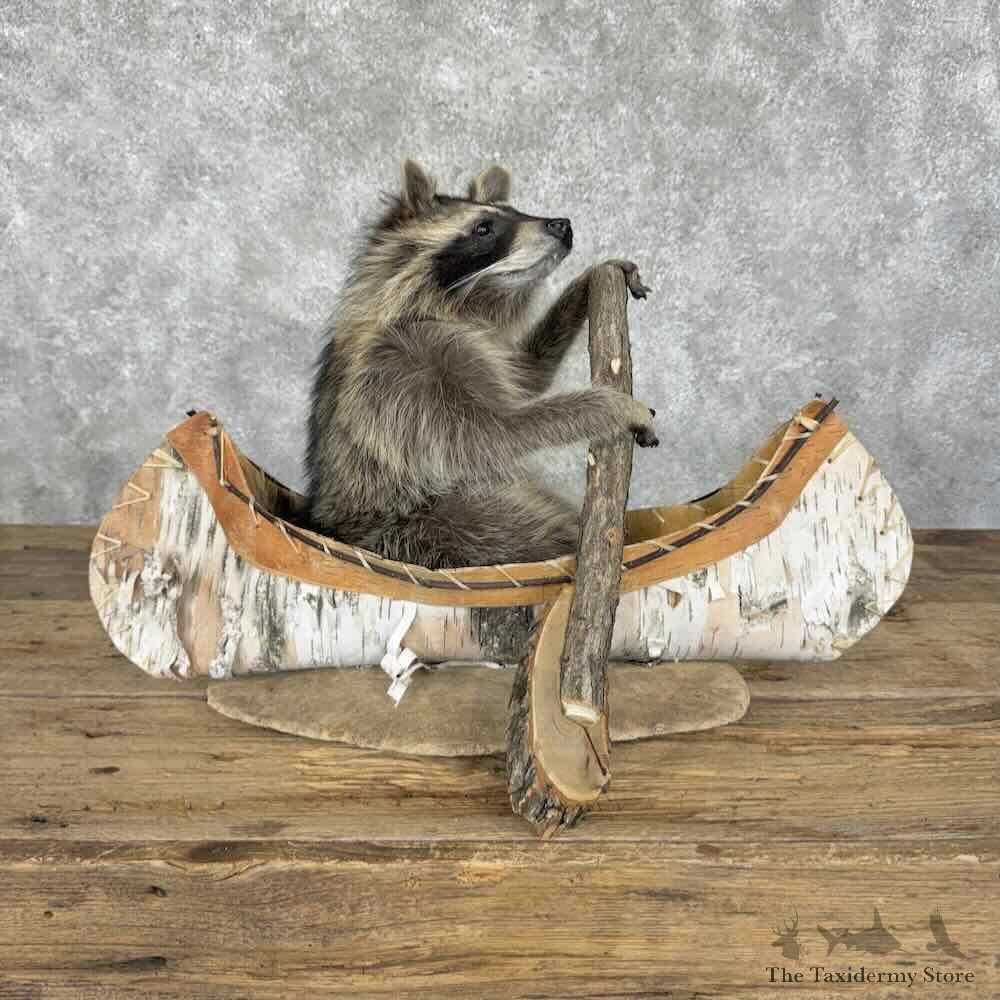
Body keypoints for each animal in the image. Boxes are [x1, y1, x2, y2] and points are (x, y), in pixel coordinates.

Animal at [306, 159, 658, 570]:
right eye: (484, 228)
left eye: (516, 211)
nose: (562, 224)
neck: (463, 306)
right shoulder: (402, 372)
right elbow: (498, 432)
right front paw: (608, 405)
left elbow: (525, 373)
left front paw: (584, 285)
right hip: (430, 527)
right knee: (524, 529)